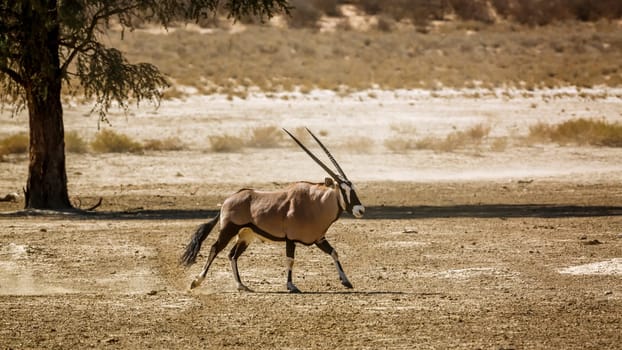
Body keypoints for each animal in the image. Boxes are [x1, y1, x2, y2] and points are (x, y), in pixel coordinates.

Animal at [180, 129, 366, 292]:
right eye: (343, 190)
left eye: (353, 188)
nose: (360, 210)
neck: (315, 203)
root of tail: (228, 200)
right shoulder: (291, 239)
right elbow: (290, 260)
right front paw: (291, 286)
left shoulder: (319, 239)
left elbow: (334, 253)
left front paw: (346, 281)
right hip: (229, 230)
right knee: (214, 249)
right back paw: (197, 281)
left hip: (246, 235)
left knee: (232, 255)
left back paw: (241, 285)